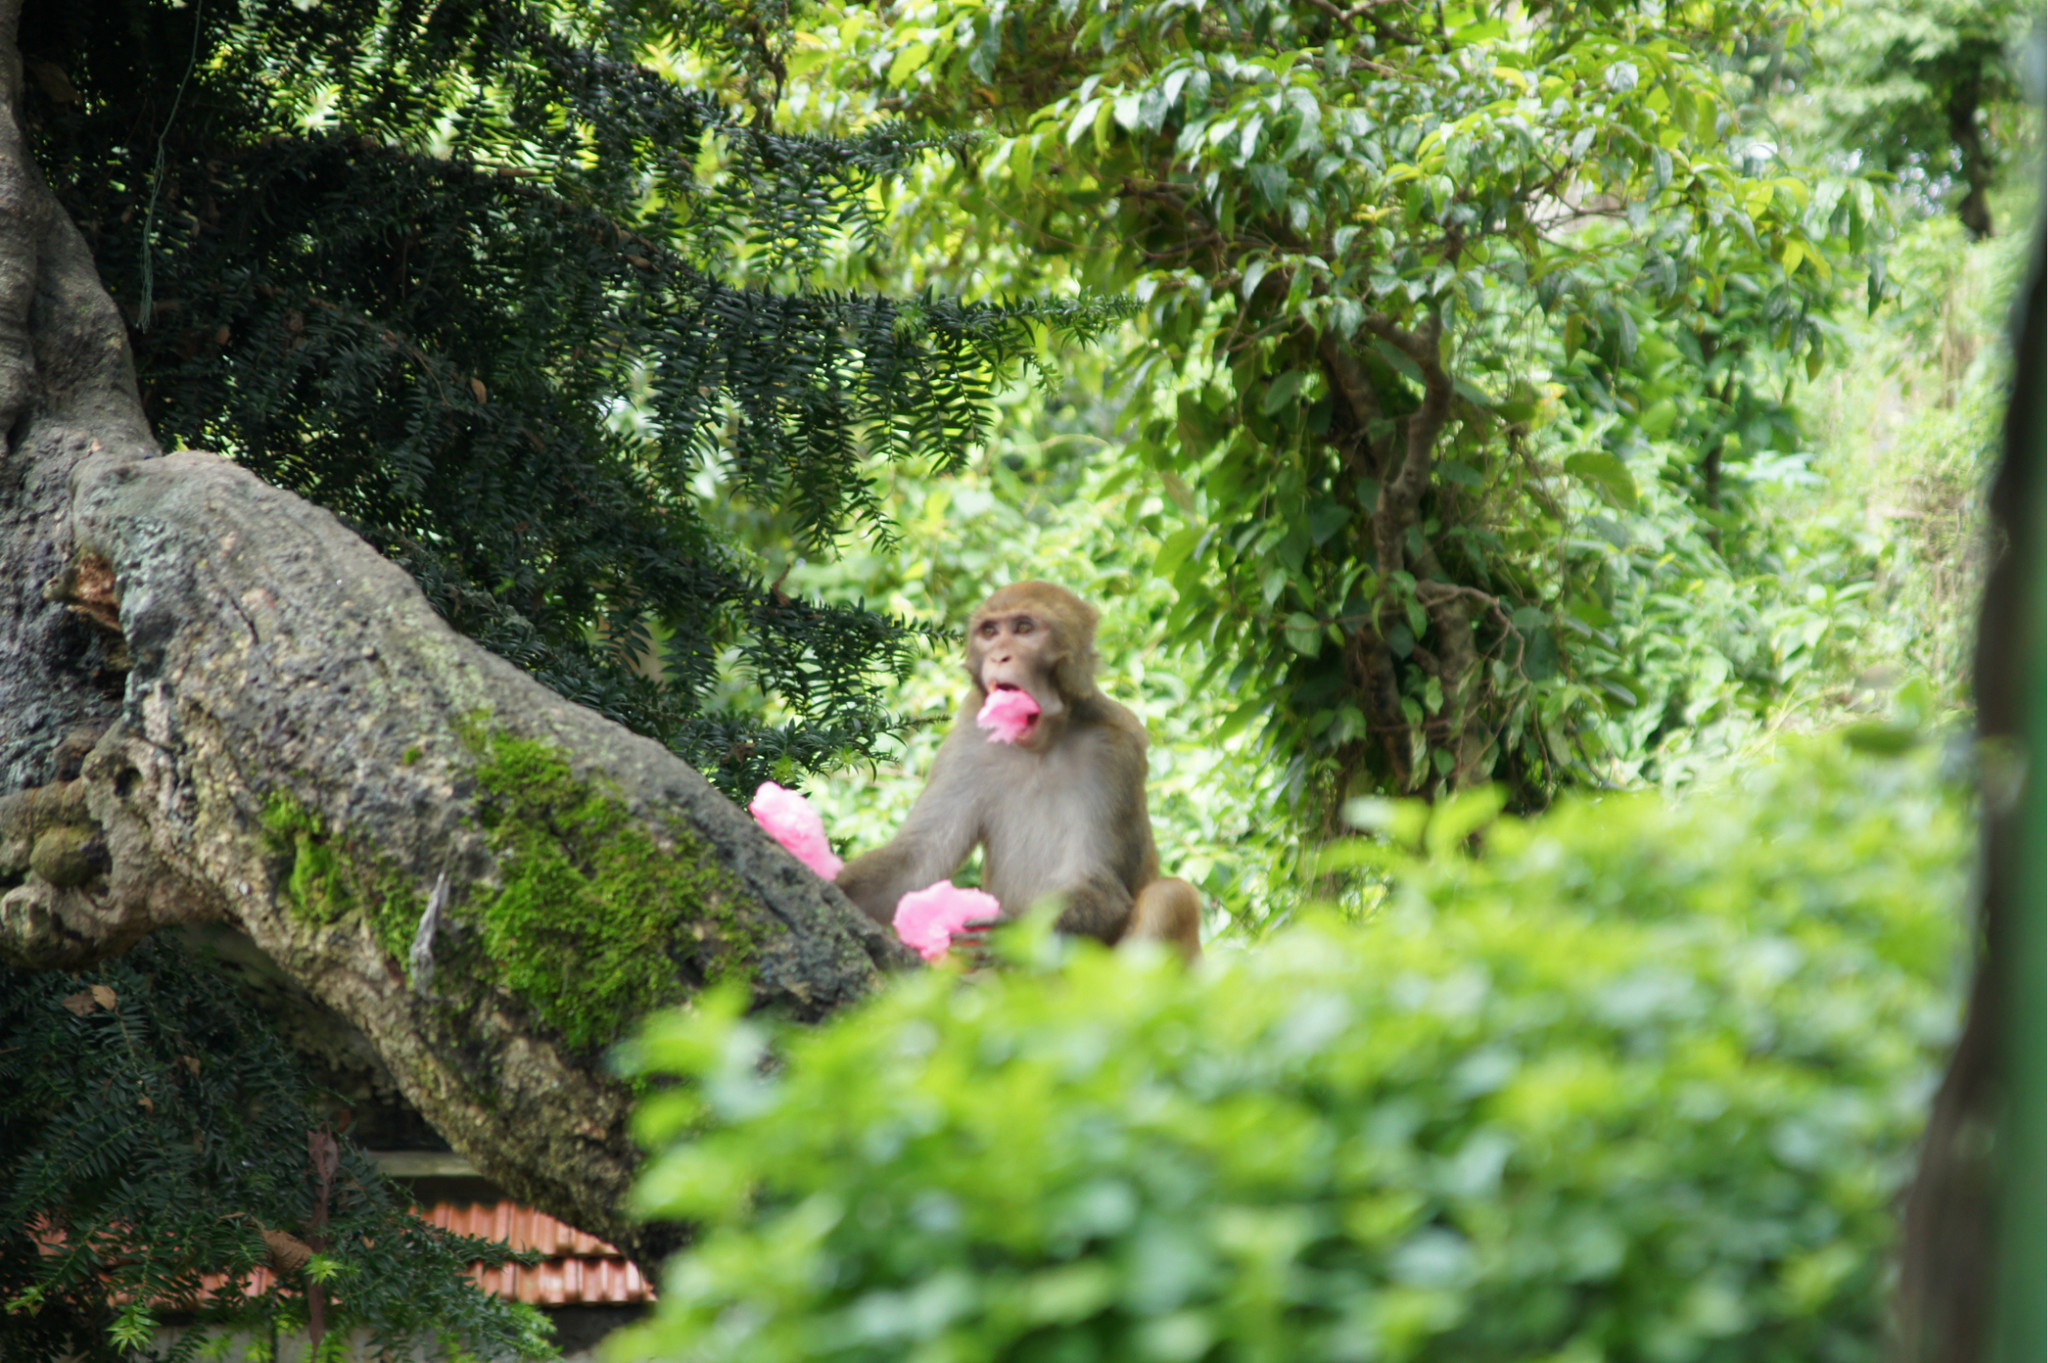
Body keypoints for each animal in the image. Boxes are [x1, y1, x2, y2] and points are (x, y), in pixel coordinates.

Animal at [839, 577, 1204, 961]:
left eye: (1024, 629)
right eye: (989, 632)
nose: (999, 655)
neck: (1039, 749)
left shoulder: (1115, 752)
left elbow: (1100, 887)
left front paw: (1014, 933)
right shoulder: (968, 744)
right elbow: (916, 861)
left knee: (1170, 897)